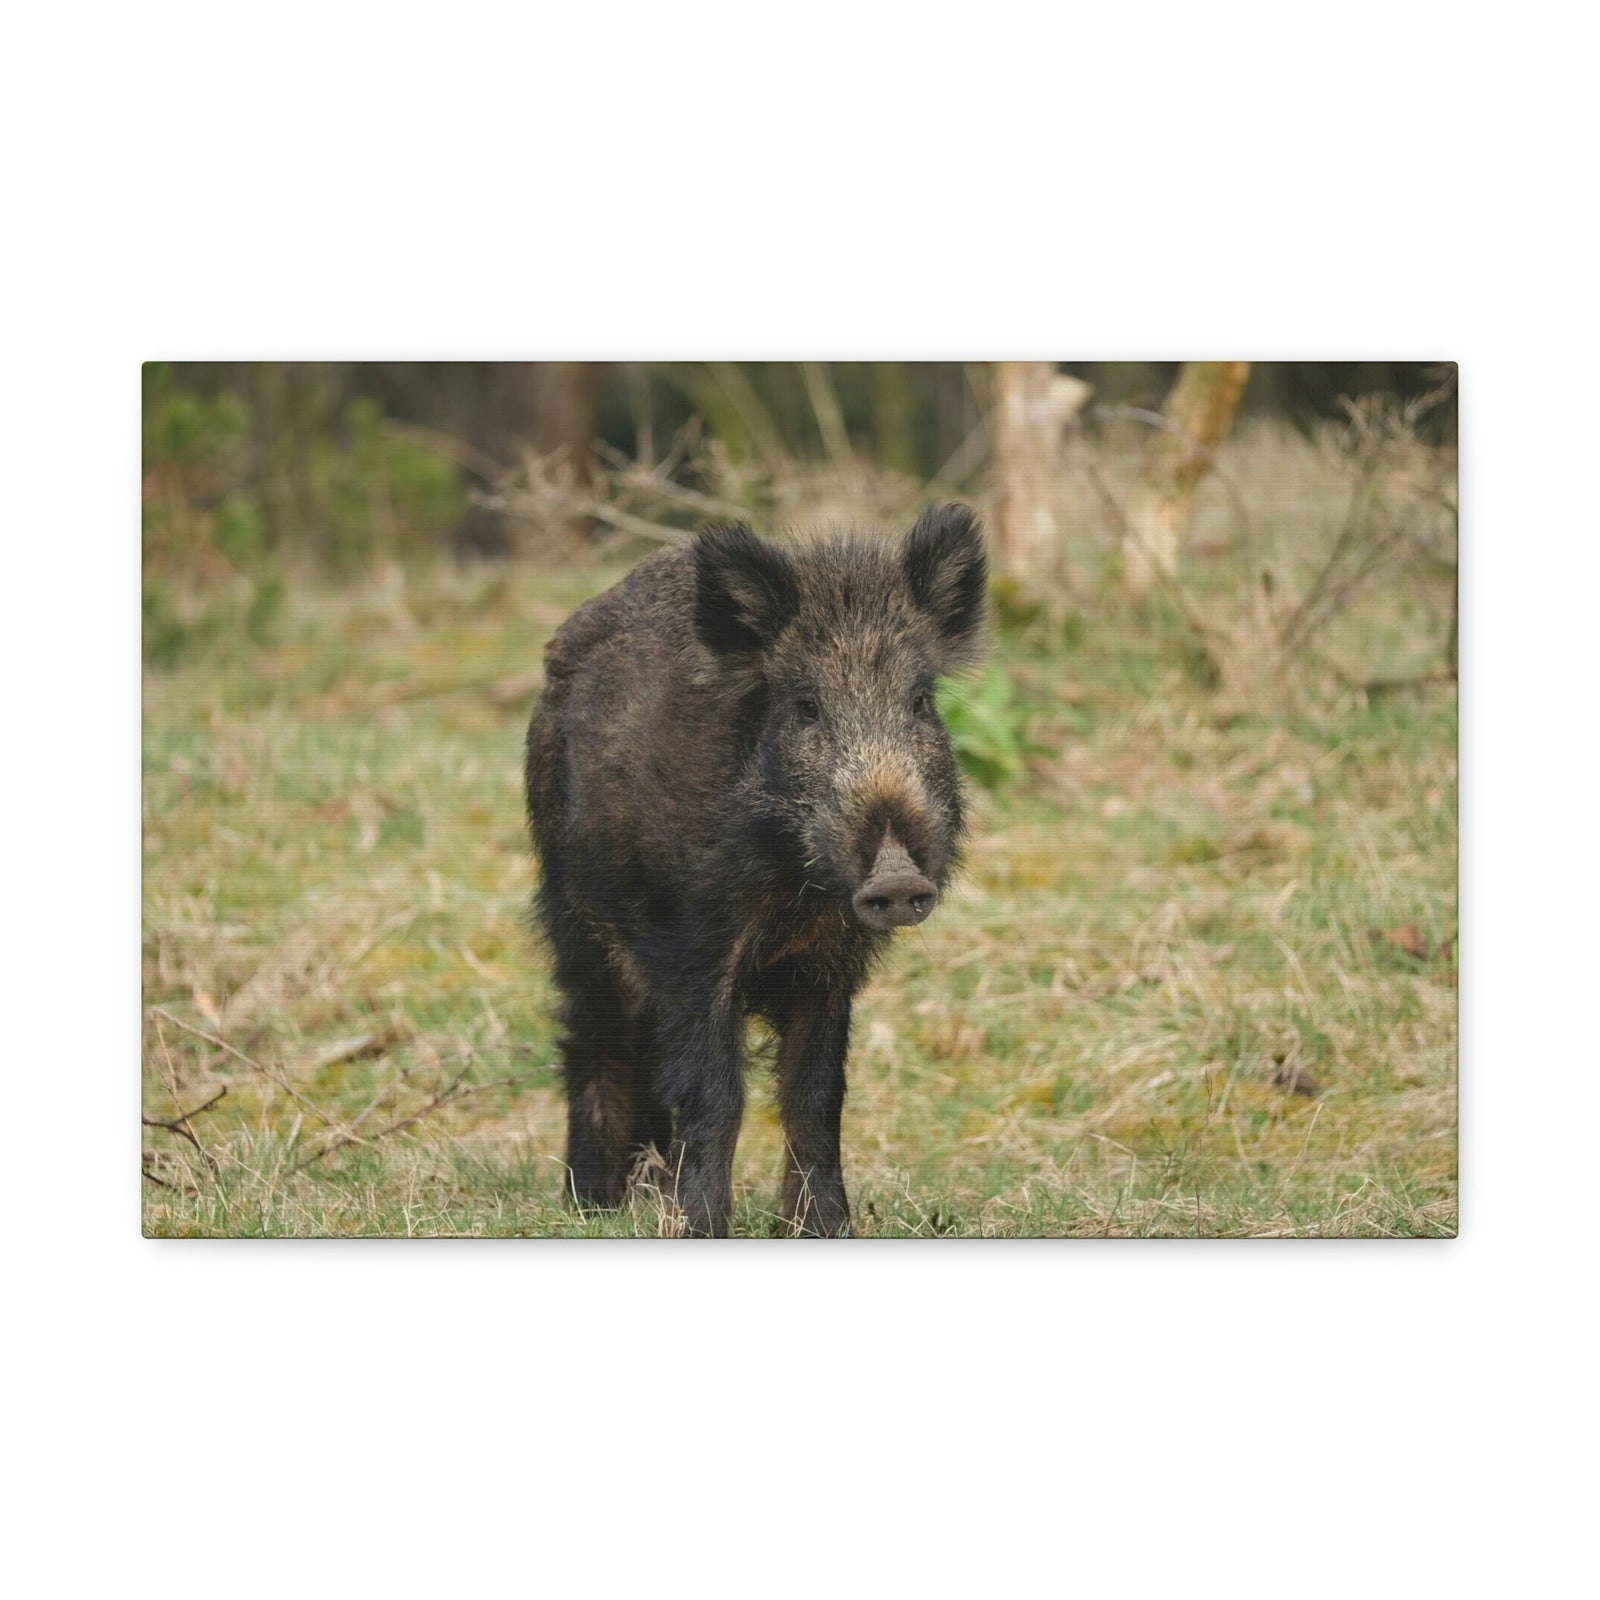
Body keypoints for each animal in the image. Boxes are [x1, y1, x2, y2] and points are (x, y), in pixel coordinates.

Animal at [524, 503, 986, 1236]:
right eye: (806, 706)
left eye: (920, 702)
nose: (896, 878)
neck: (795, 891)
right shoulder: (692, 947)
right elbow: (717, 1093)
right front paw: (703, 1227)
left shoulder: (831, 964)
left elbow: (816, 1094)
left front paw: (826, 1229)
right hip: (573, 911)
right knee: (594, 1034)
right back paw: (593, 1202)